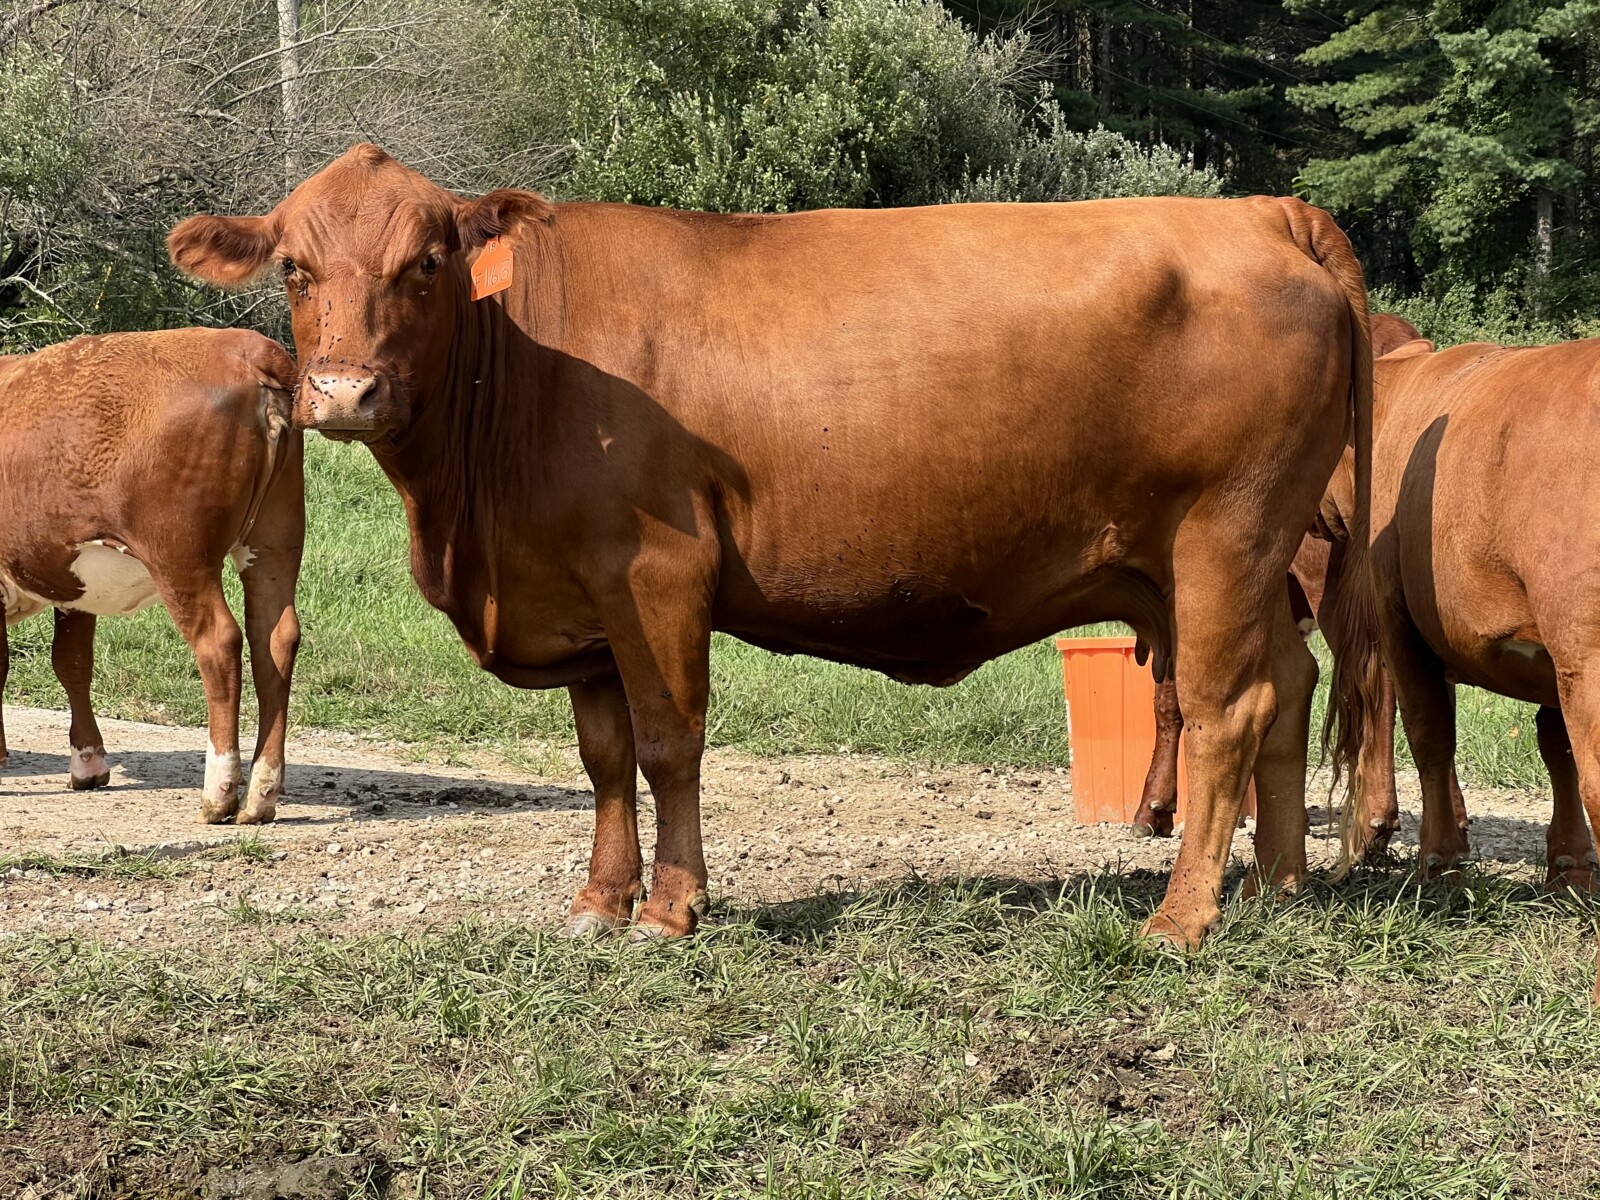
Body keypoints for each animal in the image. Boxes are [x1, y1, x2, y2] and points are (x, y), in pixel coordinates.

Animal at [0, 329, 304, 824]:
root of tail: (246, 349)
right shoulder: (71, 581)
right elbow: (72, 662)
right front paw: (88, 763)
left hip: (180, 556)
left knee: (220, 643)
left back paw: (219, 792)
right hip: (276, 544)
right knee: (275, 641)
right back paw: (261, 794)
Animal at [167, 143, 1380, 946]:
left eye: (426, 263)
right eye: (293, 269)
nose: (342, 392)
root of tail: (1264, 212)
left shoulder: (657, 574)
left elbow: (669, 746)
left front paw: (670, 909)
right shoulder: (580, 598)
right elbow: (603, 758)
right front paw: (599, 902)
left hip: (1224, 536)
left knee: (1227, 708)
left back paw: (1182, 918)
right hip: (1230, 564)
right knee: (1287, 686)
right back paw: (1276, 888)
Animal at [1132, 313, 1467, 860]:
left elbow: (1170, 700)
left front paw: (1155, 807)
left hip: (1334, 589)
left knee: (1378, 680)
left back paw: (1376, 820)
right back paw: (1448, 824)